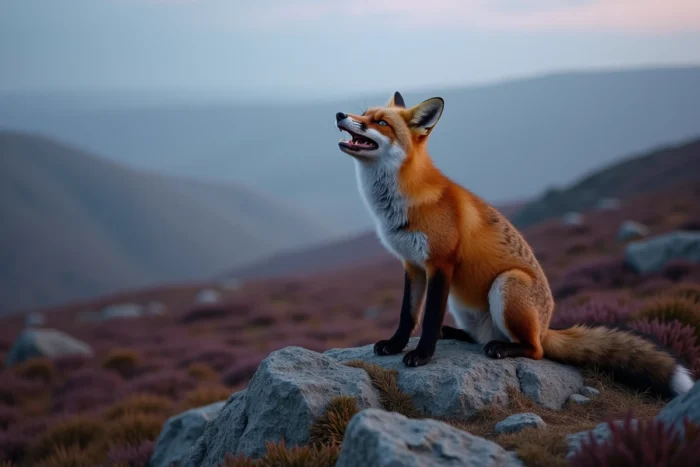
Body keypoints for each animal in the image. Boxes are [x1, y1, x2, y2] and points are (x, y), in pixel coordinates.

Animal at [334, 91, 695, 399]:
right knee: (481, 336)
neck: (400, 204)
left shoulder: (440, 264)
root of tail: (547, 327)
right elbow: (408, 316)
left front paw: (422, 355)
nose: (339, 114)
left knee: (534, 350)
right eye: (363, 114)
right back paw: (458, 334)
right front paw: (396, 345)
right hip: (464, 304)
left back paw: (503, 348)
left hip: (507, 284)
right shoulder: (412, 265)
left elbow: (429, 317)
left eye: (380, 122)